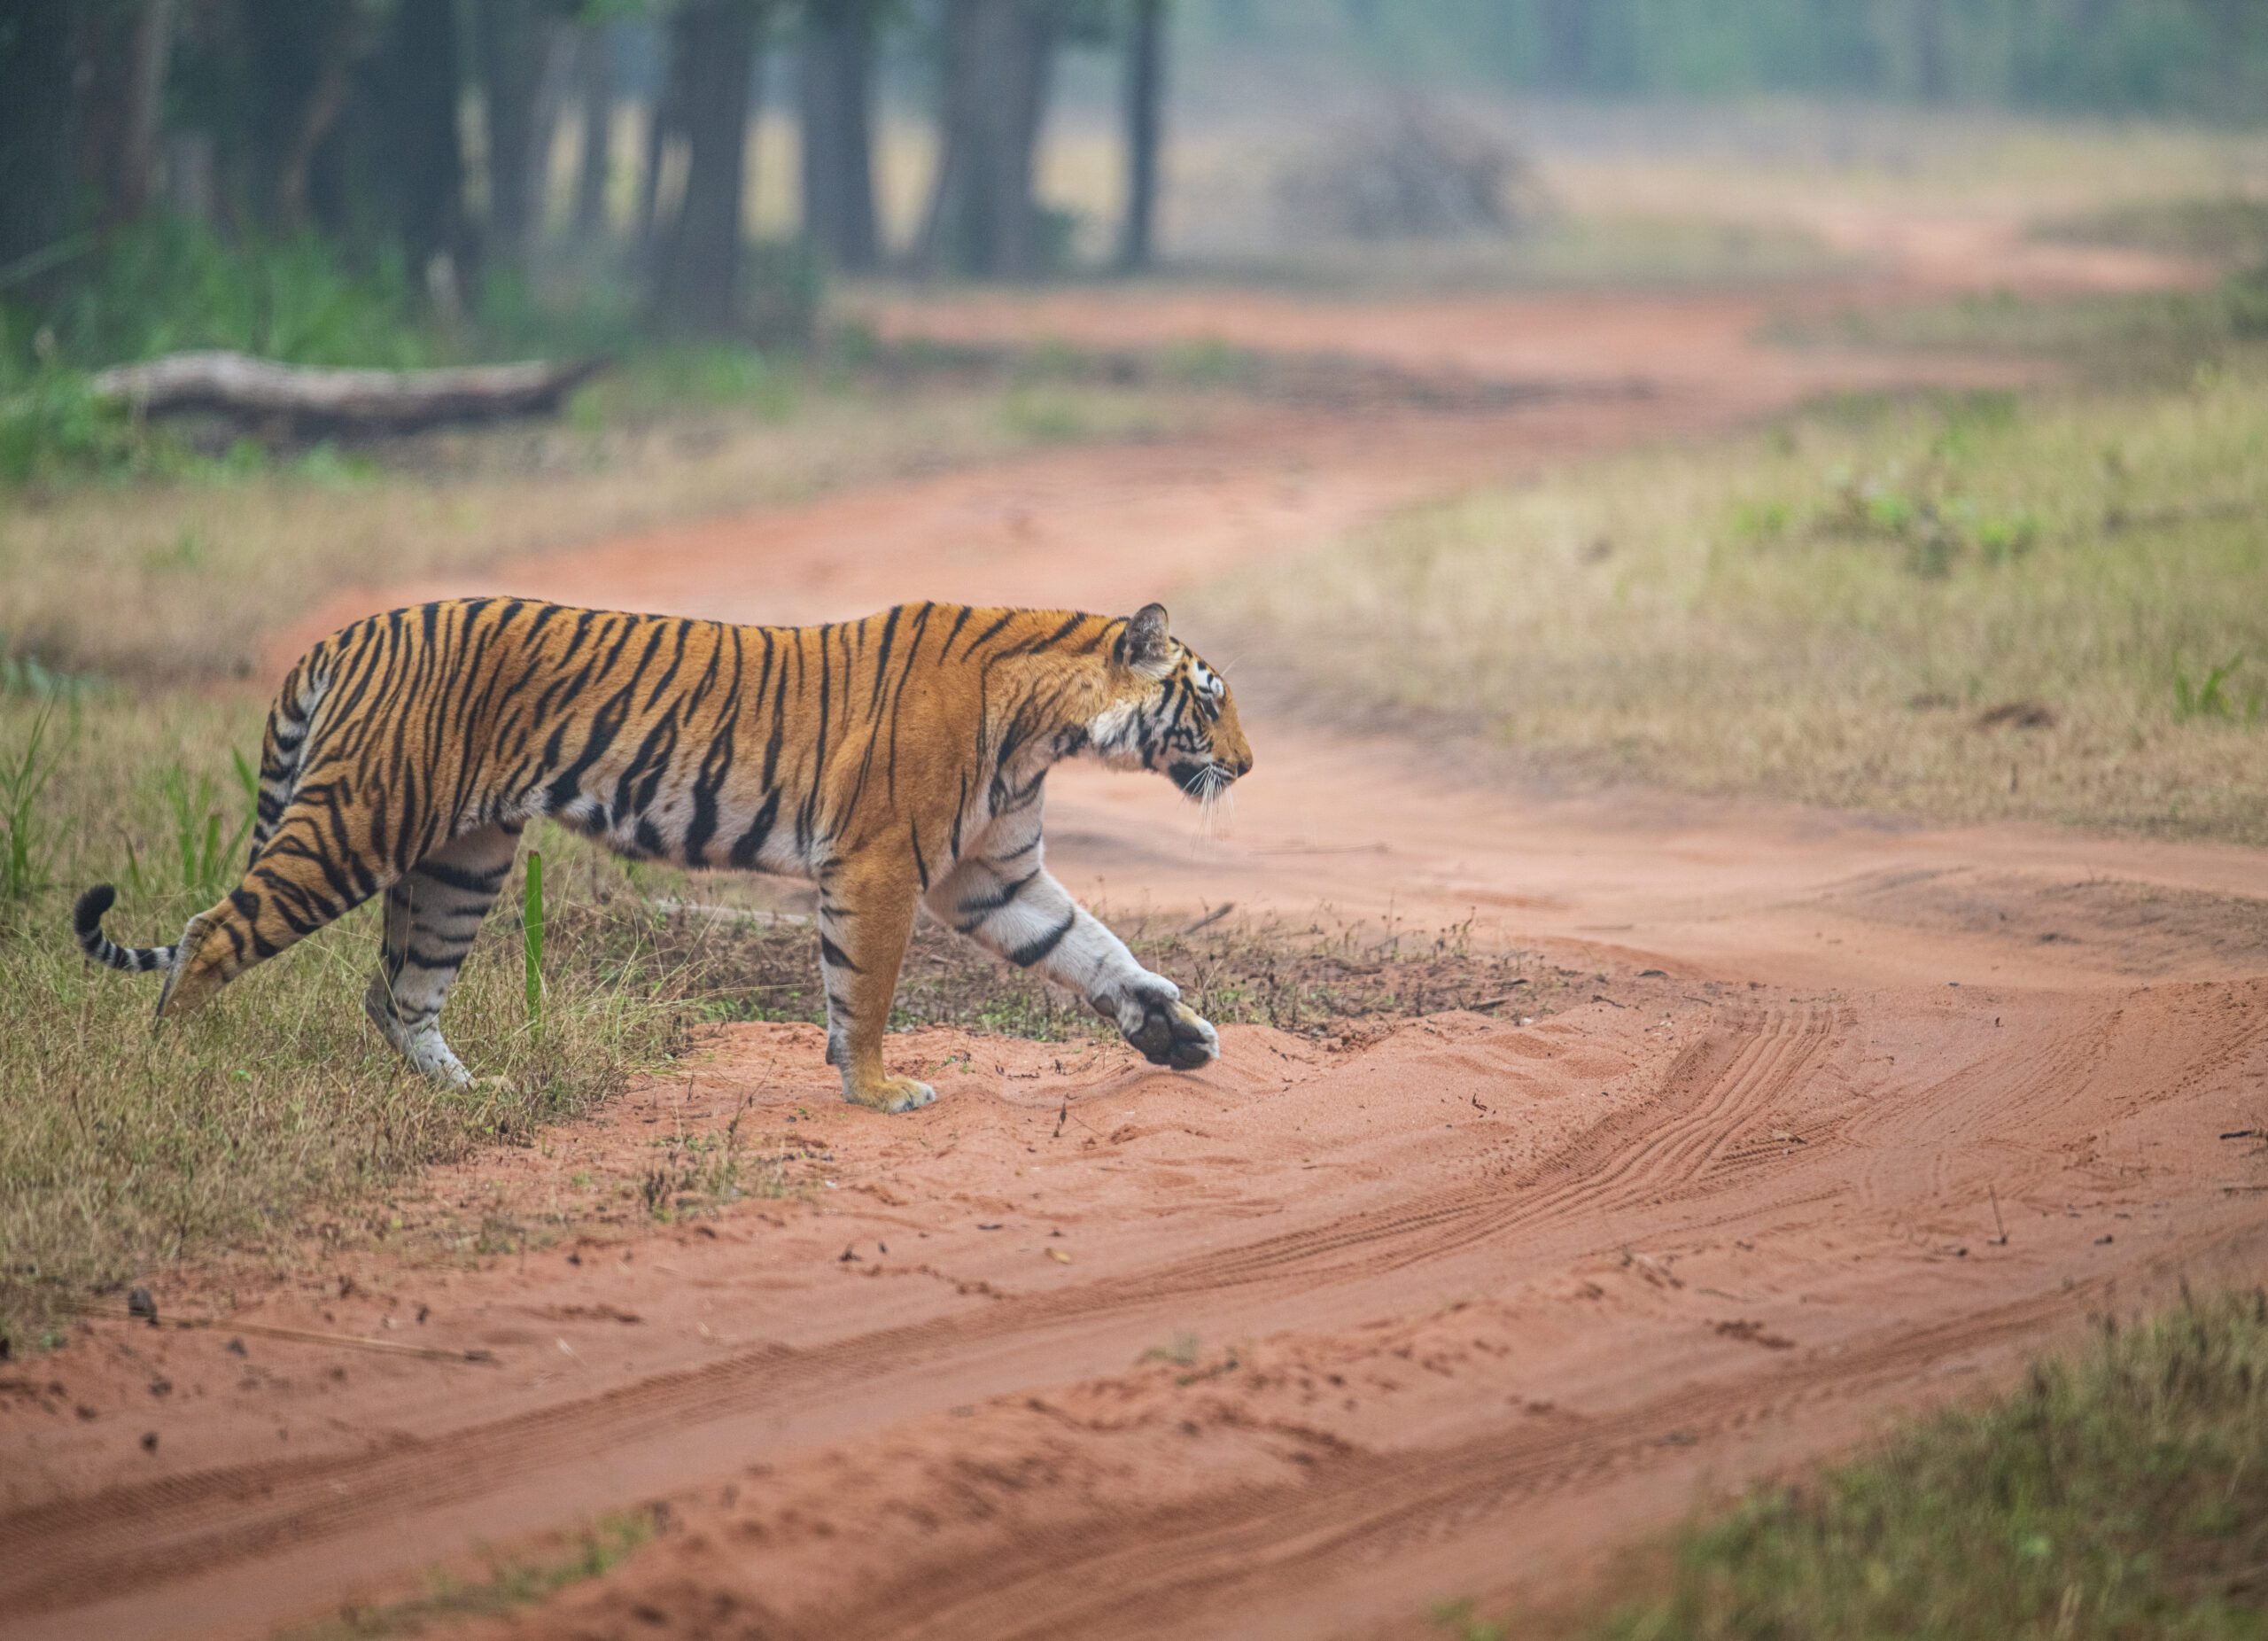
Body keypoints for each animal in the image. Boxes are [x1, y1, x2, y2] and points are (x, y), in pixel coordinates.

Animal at [66, 599, 1261, 1112]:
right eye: (1209, 699)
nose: (1249, 767)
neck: (1047, 725)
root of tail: (343, 633)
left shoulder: (994, 877)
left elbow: (1095, 949)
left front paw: (1176, 1033)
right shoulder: (880, 866)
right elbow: (865, 990)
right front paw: (877, 1088)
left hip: (464, 859)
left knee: (396, 991)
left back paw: (476, 1092)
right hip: (358, 822)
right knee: (211, 933)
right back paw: (175, 1069)